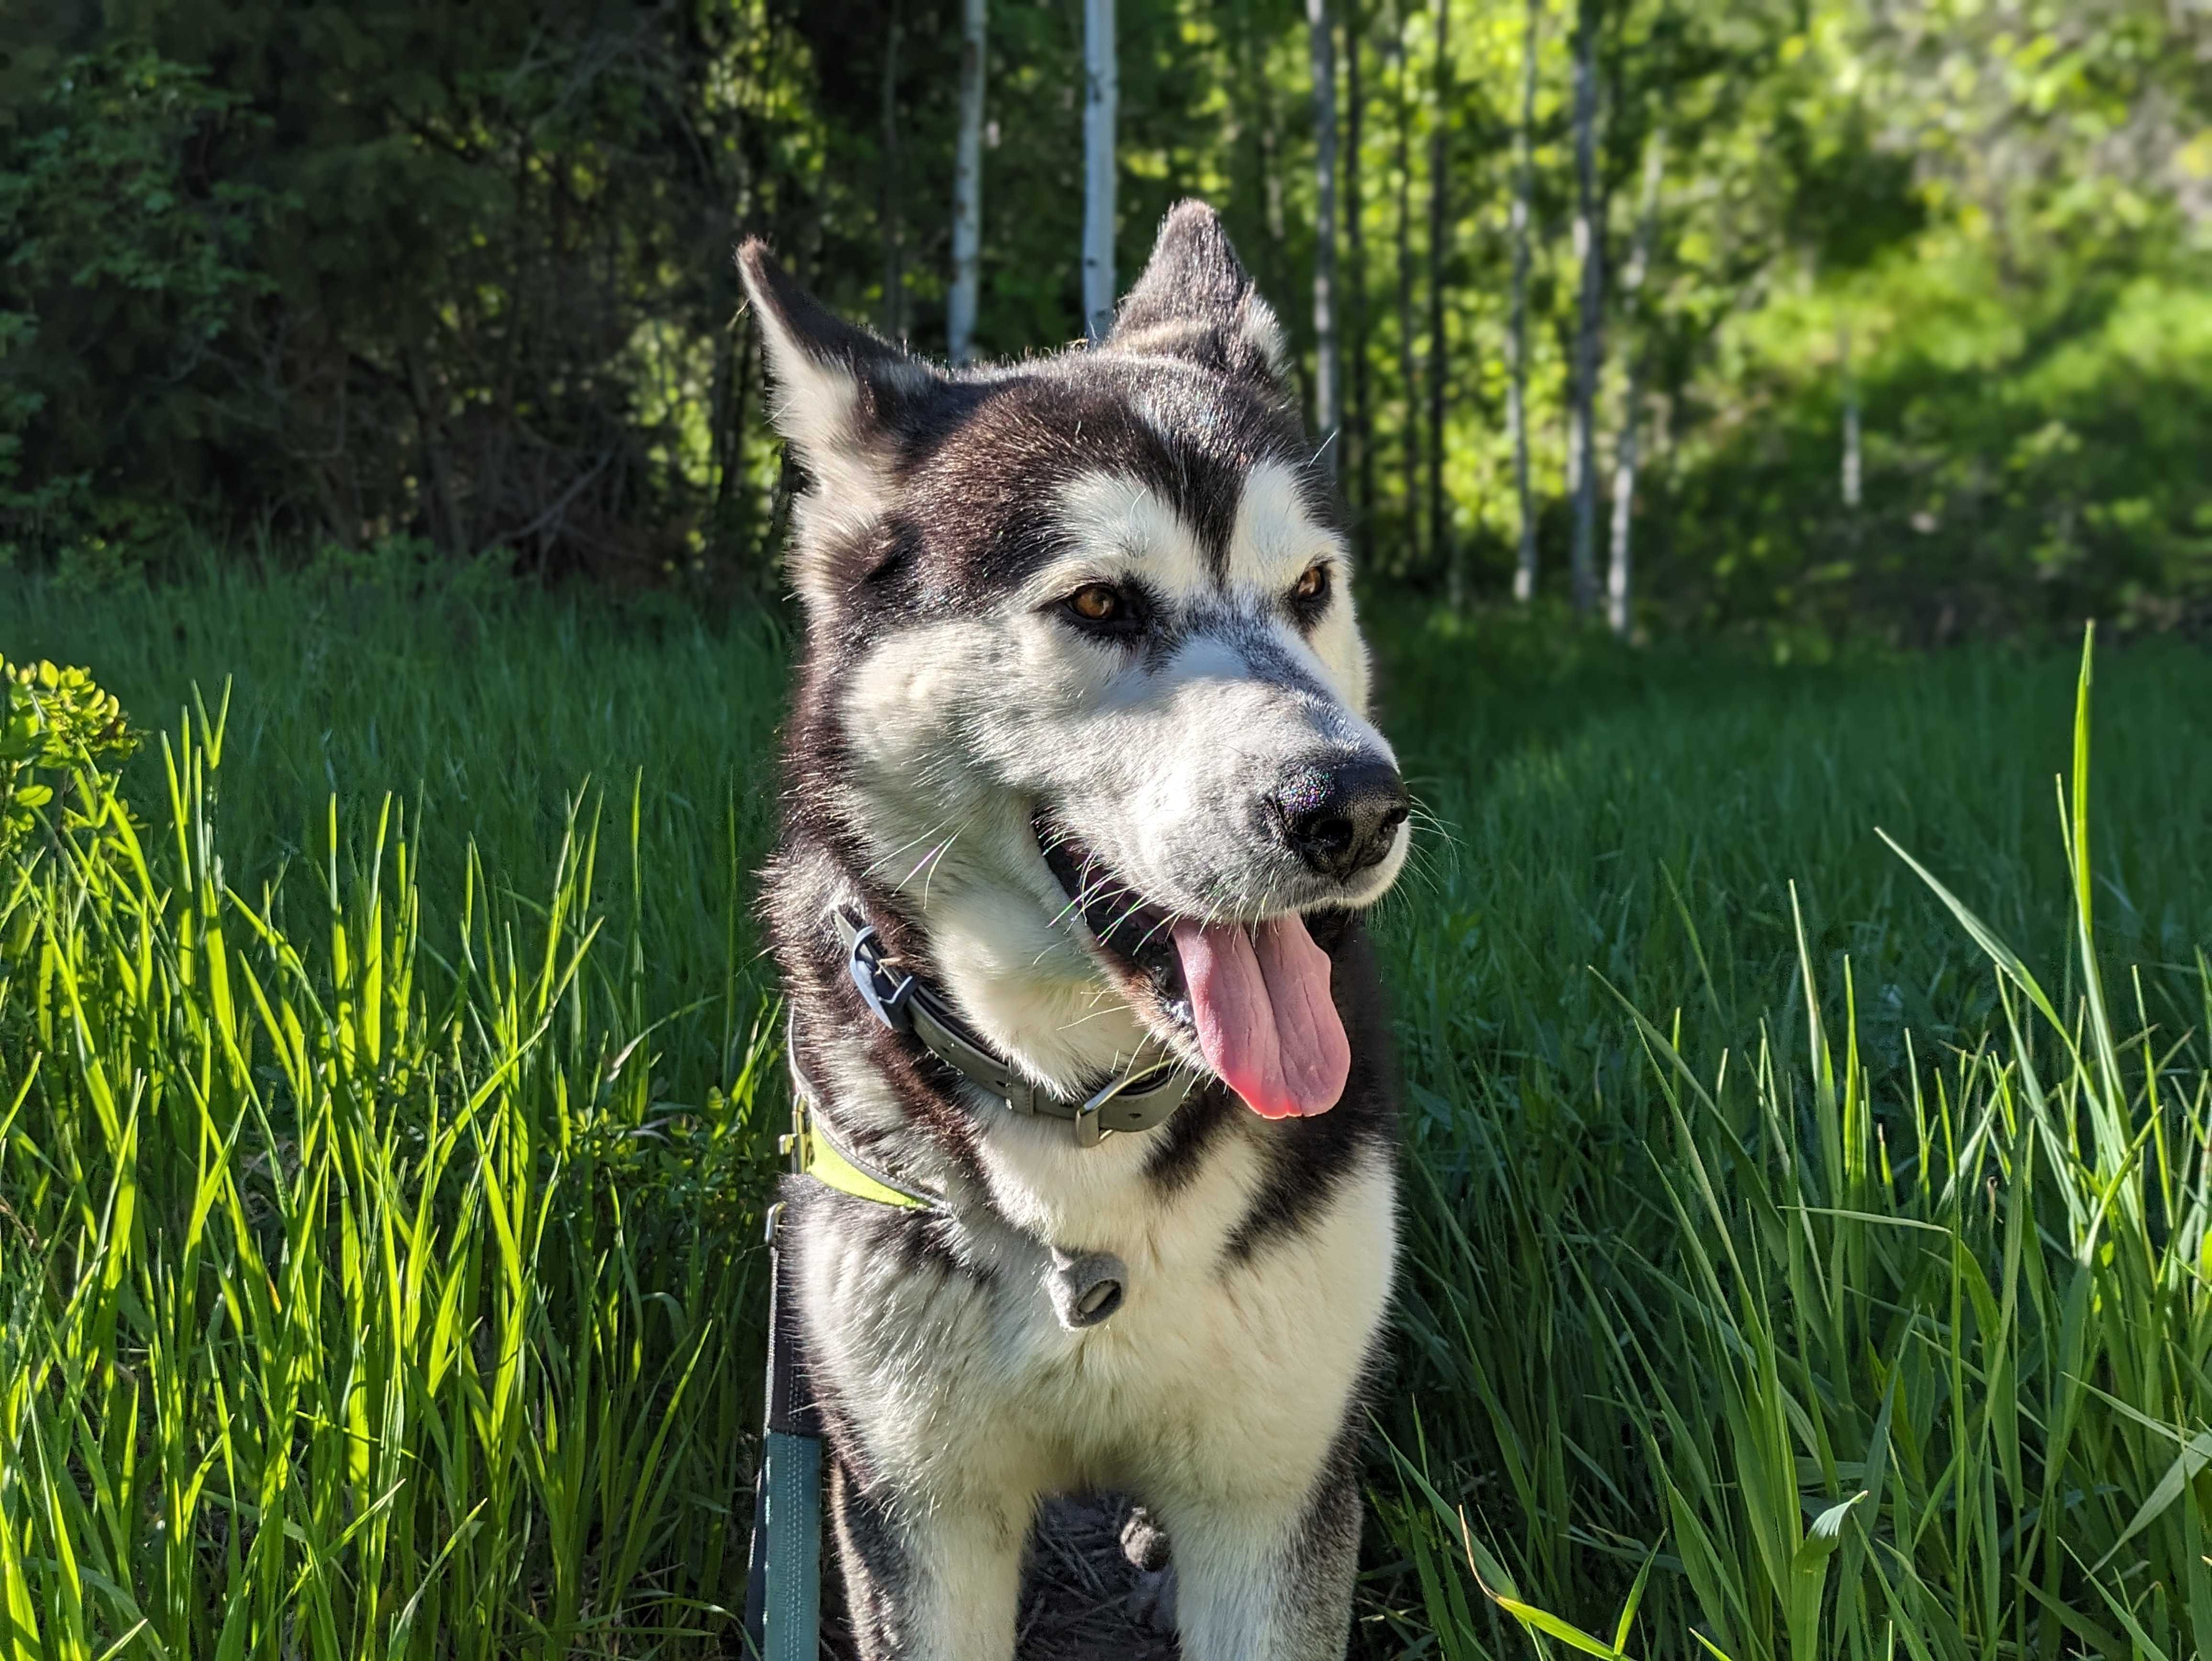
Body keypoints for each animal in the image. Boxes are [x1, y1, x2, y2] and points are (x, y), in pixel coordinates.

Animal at [739, 198, 1398, 1661]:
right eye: (1100, 603)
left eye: (1310, 589)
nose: (1354, 807)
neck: (1084, 1113)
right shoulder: (918, 1512)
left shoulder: (1274, 1499)